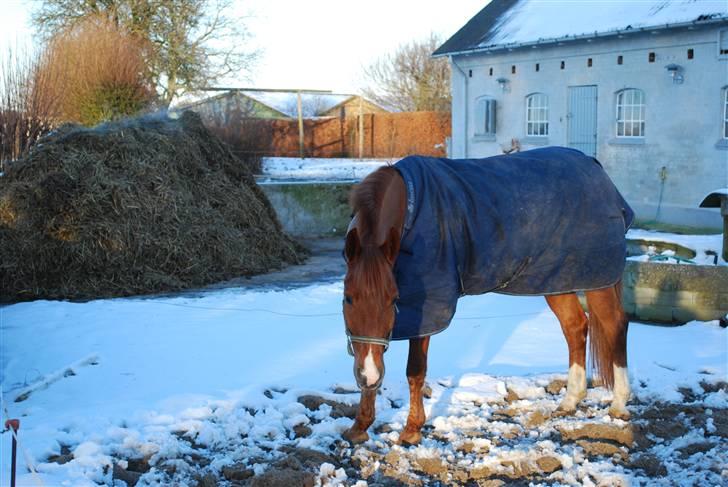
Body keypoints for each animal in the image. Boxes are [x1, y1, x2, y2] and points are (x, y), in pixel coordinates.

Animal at [342, 146, 632, 446]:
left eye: (392, 299)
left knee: (615, 325)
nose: (369, 376)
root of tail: (596, 168)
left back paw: (619, 403)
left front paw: (411, 430)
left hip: (597, 279)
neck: (410, 207)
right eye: (348, 298)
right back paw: (570, 400)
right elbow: (369, 353)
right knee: (575, 327)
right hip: (559, 280)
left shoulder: (429, 305)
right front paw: (359, 426)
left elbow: (415, 369)